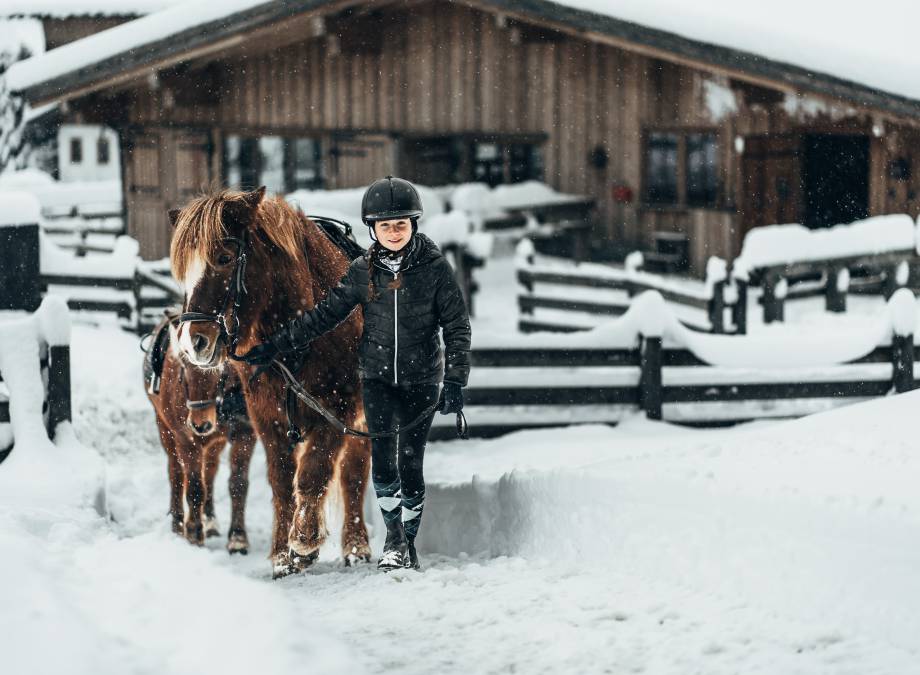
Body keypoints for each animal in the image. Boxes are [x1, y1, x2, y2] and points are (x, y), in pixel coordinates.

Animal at [145, 314, 256, 552]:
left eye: (221, 370)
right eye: (183, 367)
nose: (200, 424)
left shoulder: (245, 433)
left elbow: (238, 483)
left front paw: (238, 537)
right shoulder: (186, 438)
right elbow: (195, 486)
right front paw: (194, 532)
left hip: (214, 441)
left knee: (210, 471)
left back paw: (210, 520)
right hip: (165, 428)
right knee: (176, 472)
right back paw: (178, 523)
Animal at [169, 187, 370, 580]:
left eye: (224, 257)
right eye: (185, 269)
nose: (192, 342)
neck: (293, 335)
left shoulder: (337, 409)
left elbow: (315, 472)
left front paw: (304, 540)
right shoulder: (266, 415)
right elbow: (282, 479)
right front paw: (281, 555)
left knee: (354, 474)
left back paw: (356, 545)